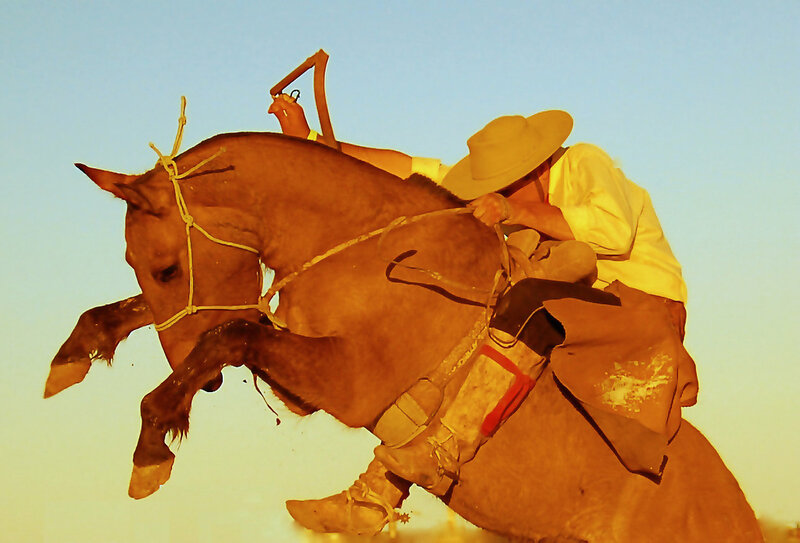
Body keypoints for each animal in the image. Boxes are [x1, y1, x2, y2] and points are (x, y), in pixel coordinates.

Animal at [50, 130, 763, 542]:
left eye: (168, 266)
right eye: (140, 265)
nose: (211, 389)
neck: (370, 247)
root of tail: (742, 516)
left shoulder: (347, 384)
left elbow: (229, 335)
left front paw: (152, 448)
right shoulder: (302, 384)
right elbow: (194, 322)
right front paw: (73, 356)